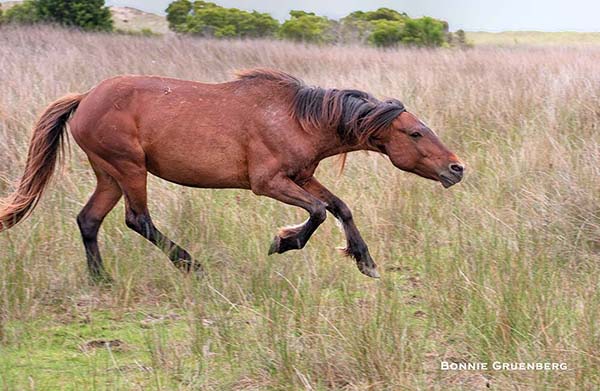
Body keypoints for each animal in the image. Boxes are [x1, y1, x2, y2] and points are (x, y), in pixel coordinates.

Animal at [0, 69, 464, 282]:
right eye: (415, 132)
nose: (456, 168)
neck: (298, 119)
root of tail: (84, 98)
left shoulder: (301, 176)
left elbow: (340, 207)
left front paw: (364, 261)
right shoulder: (268, 183)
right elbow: (317, 212)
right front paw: (283, 242)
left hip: (109, 174)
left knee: (89, 220)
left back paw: (102, 279)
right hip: (129, 169)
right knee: (137, 220)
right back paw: (192, 265)